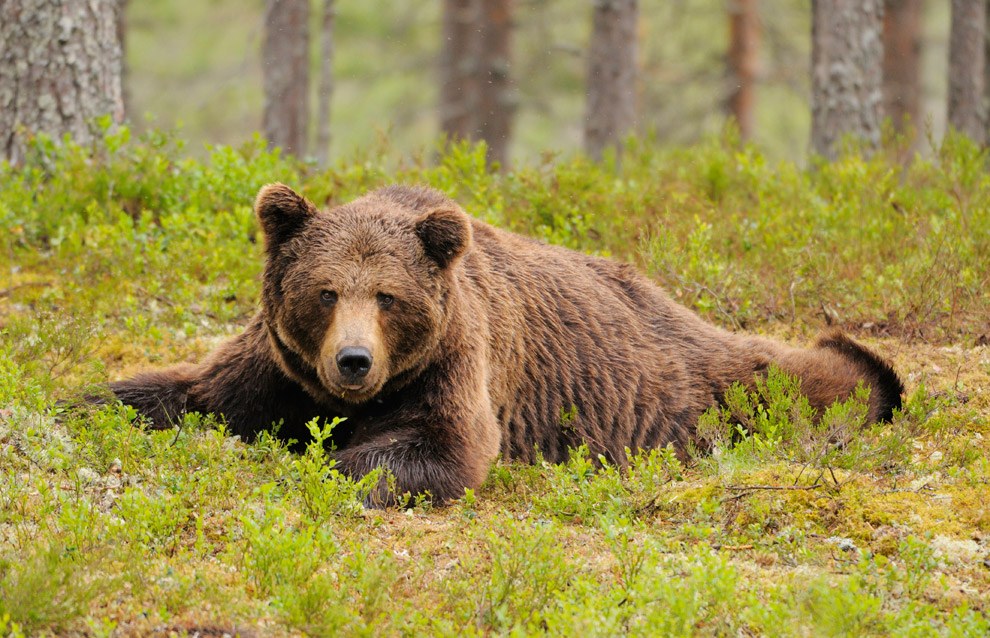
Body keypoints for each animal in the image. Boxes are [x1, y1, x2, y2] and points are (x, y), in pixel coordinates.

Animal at [110, 184, 908, 504]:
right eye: (326, 292)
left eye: (388, 297)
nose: (354, 362)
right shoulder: (276, 368)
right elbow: (184, 391)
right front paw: (103, 404)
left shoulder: (457, 364)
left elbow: (441, 447)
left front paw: (316, 465)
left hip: (682, 381)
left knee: (784, 378)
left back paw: (871, 374)